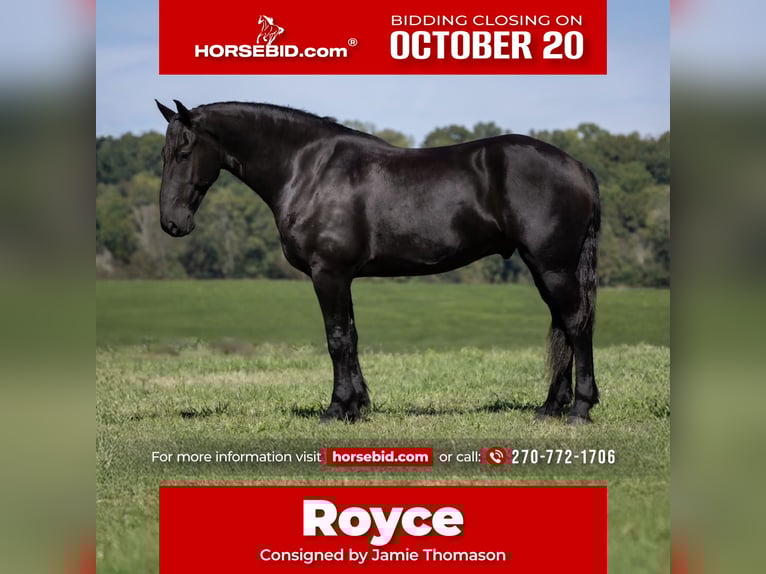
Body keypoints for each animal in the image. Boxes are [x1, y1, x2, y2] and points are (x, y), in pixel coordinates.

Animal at [155, 99, 601, 425]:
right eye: (163, 153)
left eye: (185, 151)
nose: (172, 223)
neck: (309, 170)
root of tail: (579, 167)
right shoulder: (342, 277)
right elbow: (351, 336)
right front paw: (357, 406)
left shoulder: (328, 273)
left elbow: (336, 339)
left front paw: (336, 409)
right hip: (546, 269)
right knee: (563, 327)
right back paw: (550, 407)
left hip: (552, 266)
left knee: (576, 325)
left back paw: (580, 408)